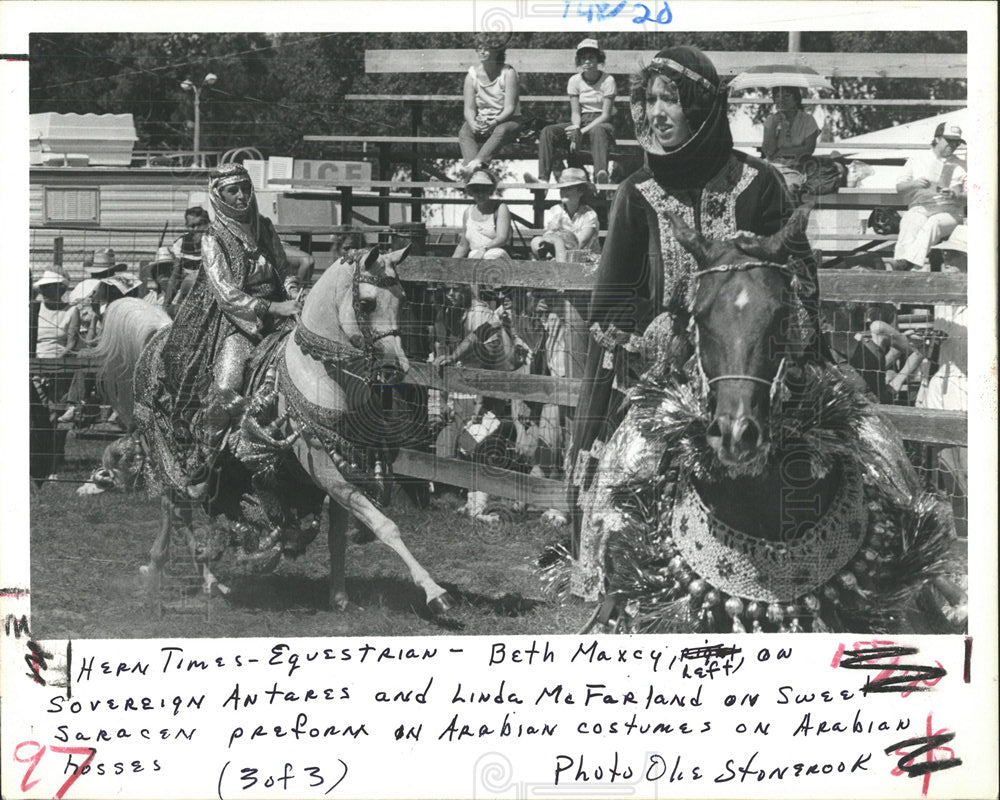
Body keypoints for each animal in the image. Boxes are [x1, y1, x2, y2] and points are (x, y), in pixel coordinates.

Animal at [94, 247, 454, 616]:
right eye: (367, 304)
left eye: (402, 300)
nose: (396, 367)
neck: (318, 376)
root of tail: (160, 333)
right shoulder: (322, 466)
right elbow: (384, 525)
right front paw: (435, 592)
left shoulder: (342, 462)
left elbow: (338, 538)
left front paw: (339, 597)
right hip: (167, 451)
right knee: (177, 511)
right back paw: (193, 577)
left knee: (176, 511)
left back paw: (180, 571)